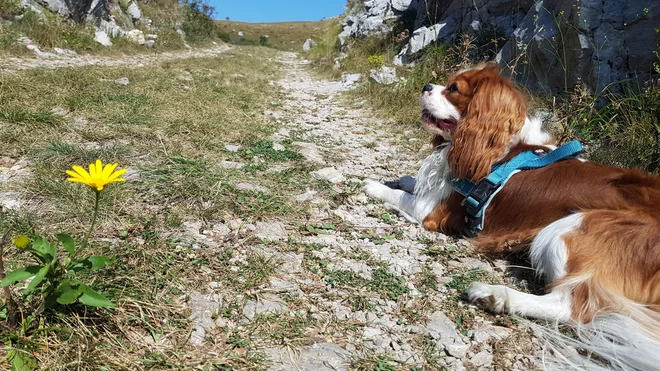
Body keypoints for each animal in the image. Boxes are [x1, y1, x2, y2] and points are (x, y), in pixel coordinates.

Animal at [366, 65, 660, 370]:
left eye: (454, 89)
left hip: (569, 228)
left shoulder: (429, 210)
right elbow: (412, 184)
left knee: (574, 305)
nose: (426, 86)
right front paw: (404, 179)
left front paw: (373, 185)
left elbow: (400, 196)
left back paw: (496, 295)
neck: (499, 148)